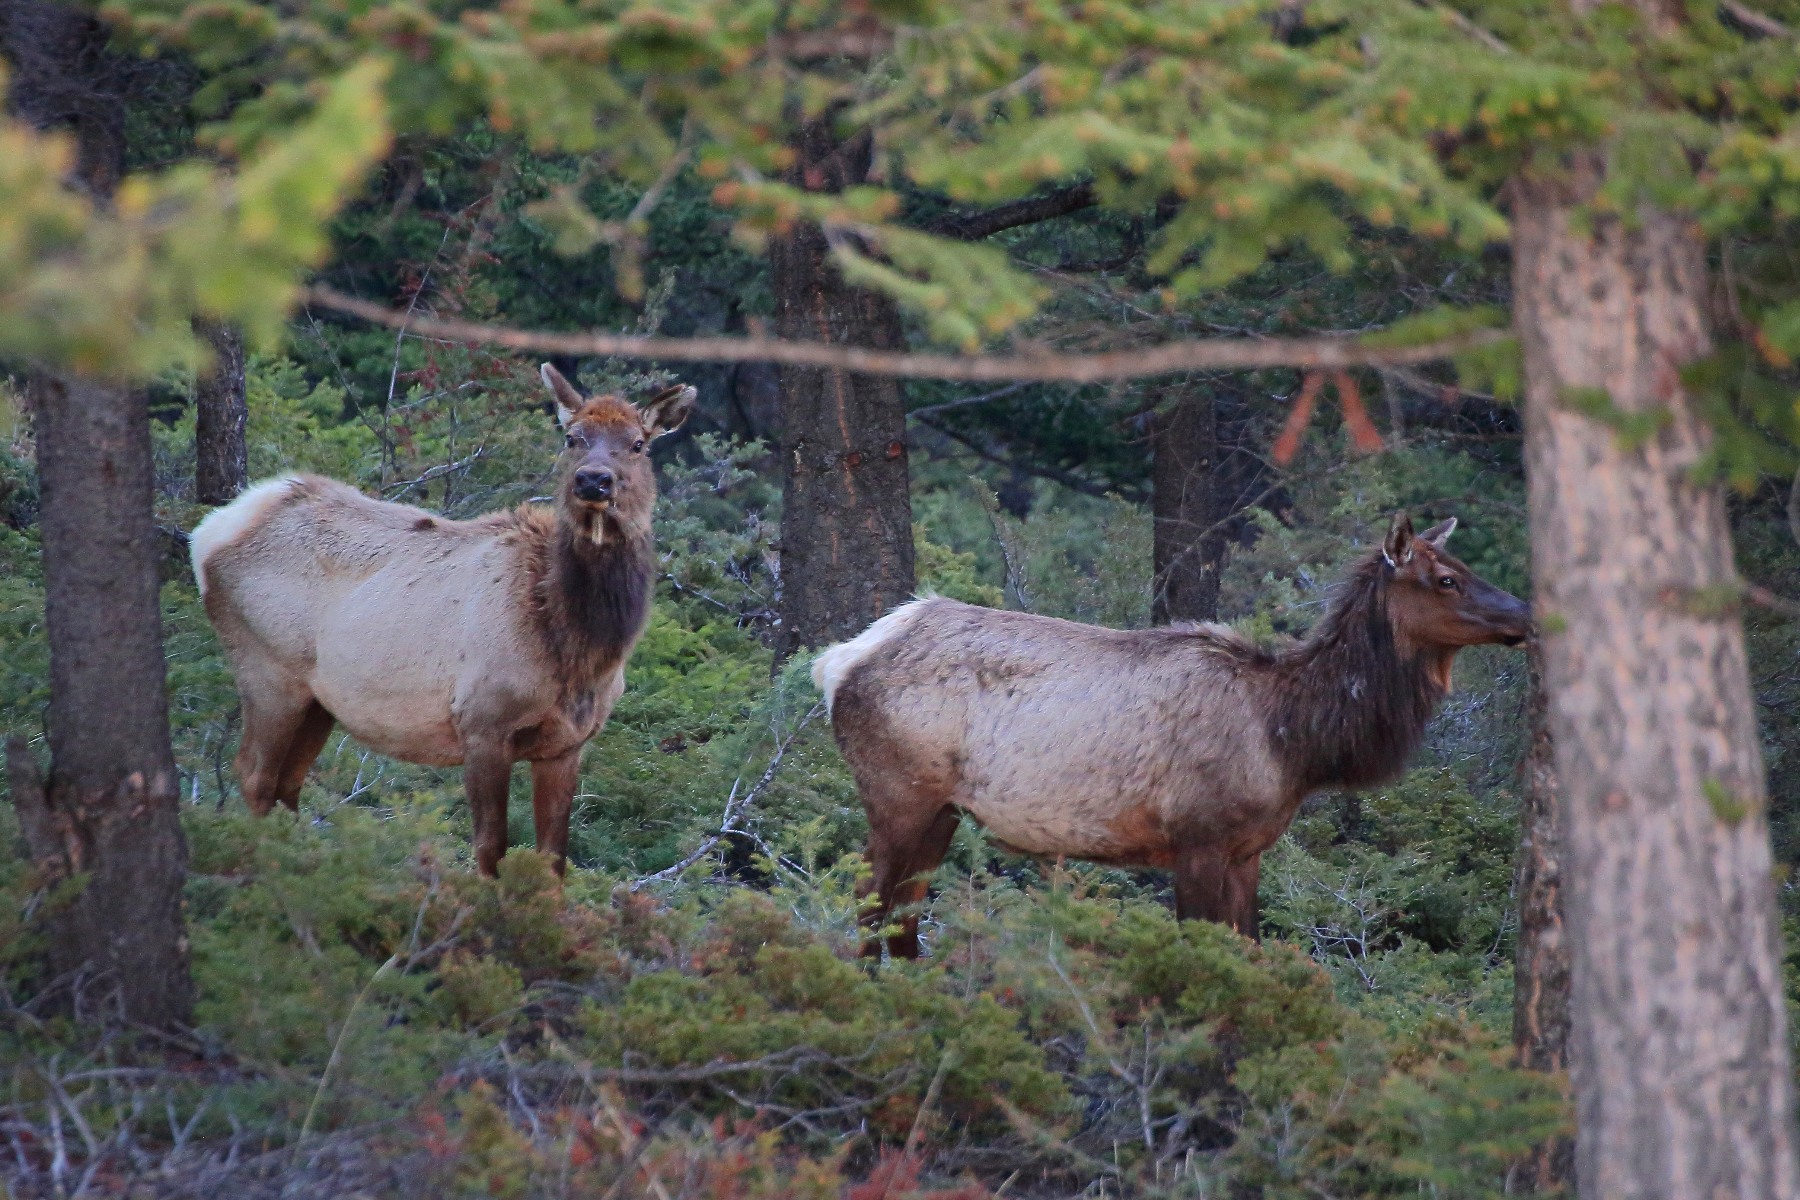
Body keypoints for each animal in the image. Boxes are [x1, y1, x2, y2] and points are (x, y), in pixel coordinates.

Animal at [191, 364, 693, 876]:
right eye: (572, 437)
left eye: (638, 443)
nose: (593, 480)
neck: (579, 650)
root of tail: (208, 532)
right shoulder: (482, 722)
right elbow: (490, 850)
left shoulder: (567, 744)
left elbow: (553, 859)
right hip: (268, 671)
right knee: (254, 775)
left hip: (318, 701)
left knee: (287, 785)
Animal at [811, 513, 1531, 957]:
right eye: (1447, 578)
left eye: (1462, 564)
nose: (1525, 614)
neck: (1293, 740)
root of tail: (841, 659)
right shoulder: (1197, 837)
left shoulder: (1247, 850)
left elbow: (1248, 952)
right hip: (897, 792)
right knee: (866, 904)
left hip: (944, 809)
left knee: (903, 915)